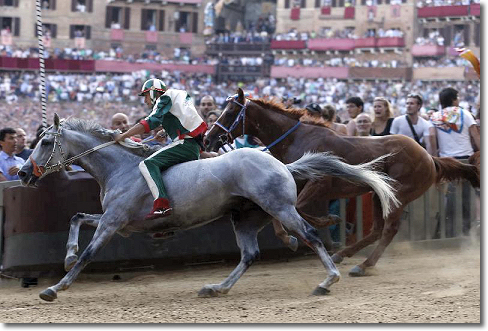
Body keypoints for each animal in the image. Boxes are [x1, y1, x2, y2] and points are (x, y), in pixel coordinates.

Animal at [19, 115, 398, 304]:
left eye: (46, 142)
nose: (23, 174)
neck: (120, 167)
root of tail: (281, 164)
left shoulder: (113, 222)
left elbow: (88, 255)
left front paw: (55, 288)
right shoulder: (120, 223)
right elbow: (76, 218)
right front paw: (67, 255)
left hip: (280, 207)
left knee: (309, 235)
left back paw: (327, 280)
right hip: (245, 218)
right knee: (250, 255)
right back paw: (216, 288)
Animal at [203, 88, 480, 278]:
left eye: (230, 112)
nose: (207, 138)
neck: (296, 140)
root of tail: (430, 158)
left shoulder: (319, 184)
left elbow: (300, 211)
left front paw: (328, 221)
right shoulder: (289, 186)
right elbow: (279, 217)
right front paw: (291, 239)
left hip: (398, 194)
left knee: (388, 229)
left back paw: (364, 264)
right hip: (379, 194)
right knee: (377, 229)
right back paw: (343, 255)